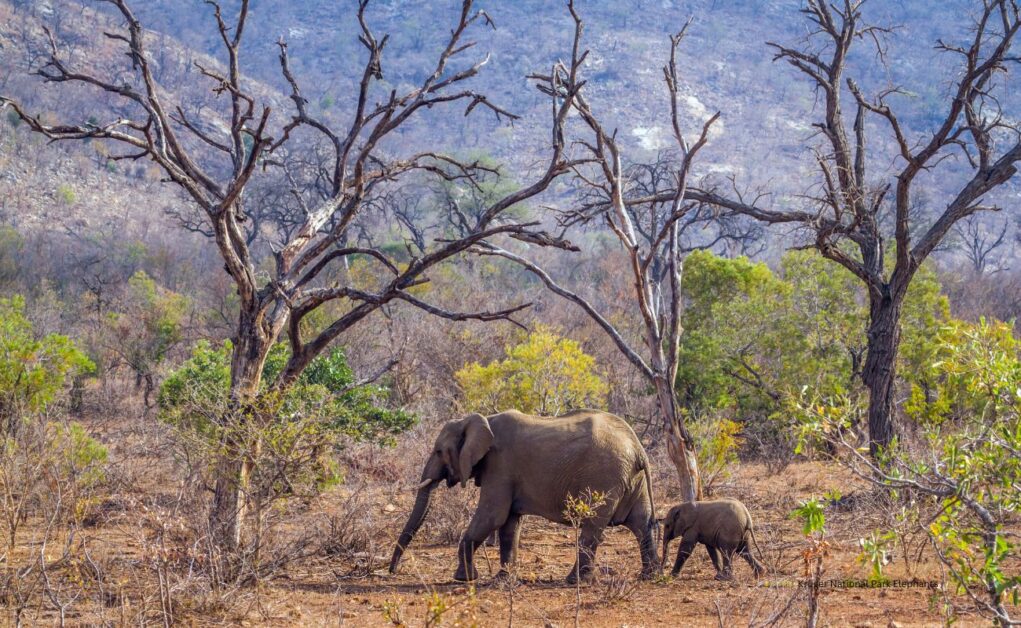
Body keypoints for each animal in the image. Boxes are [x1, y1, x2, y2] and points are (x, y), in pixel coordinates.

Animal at [388, 409, 659, 583]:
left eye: (438, 451)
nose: (392, 572)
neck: (479, 419)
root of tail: (638, 448)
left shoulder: (500, 465)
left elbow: (492, 516)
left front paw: (464, 579)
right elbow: (509, 524)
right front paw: (503, 580)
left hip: (604, 477)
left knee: (592, 526)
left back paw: (574, 581)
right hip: (631, 479)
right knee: (641, 522)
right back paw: (650, 575)